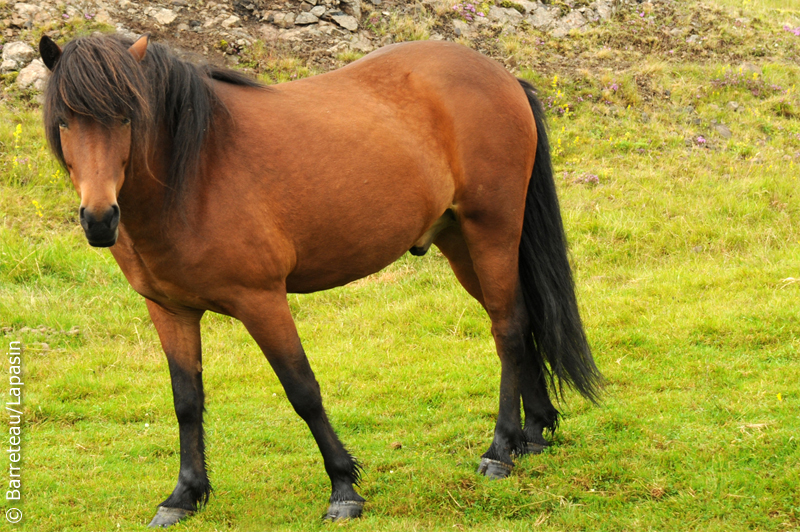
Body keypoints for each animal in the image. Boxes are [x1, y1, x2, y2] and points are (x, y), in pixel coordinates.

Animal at [39, 34, 600, 528]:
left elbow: (303, 390)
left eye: (126, 117)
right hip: (460, 241)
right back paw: (535, 432)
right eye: (64, 121)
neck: (195, 171)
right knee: (521, 320)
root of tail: (502, 76)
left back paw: (501, 448)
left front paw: (344, 488)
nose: (99, 220)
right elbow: (186, 402)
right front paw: (184, 496)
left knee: (508, 329)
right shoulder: (169, 310)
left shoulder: (262, 300)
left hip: (492, 231)